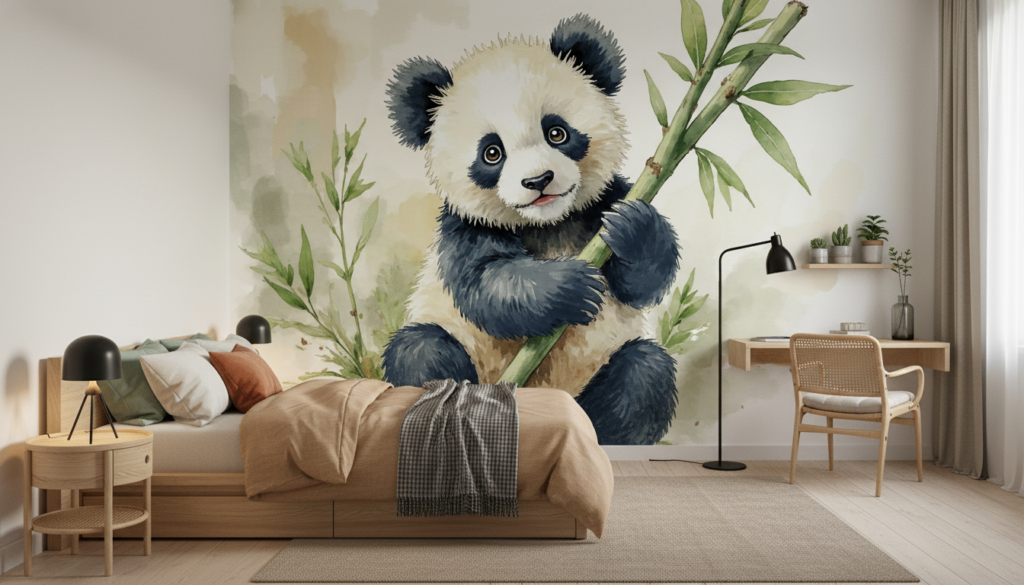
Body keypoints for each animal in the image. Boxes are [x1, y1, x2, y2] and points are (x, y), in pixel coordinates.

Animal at [382, 14, 681, 445]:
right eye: (492, 153)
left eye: (557, 132)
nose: (538, 181)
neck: (548, 224)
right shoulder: (464, 228)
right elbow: (487, 285)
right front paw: (572, 285)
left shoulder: (599, 204)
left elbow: (643, 283)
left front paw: (634, 229)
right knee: (420, 353)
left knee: (643, 377)